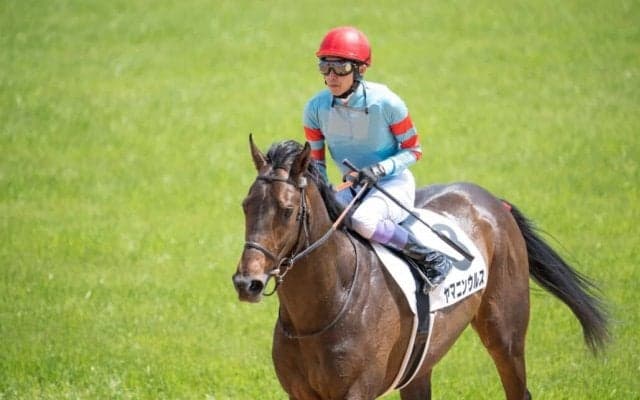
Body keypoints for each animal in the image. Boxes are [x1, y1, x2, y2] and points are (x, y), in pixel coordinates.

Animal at [232, 137, 609, 400]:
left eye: (287, 210)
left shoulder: (356, 390)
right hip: (422, 364)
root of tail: (490, 201)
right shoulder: (300, 392)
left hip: (506, 336)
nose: (247, 282)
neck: (326, 306)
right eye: (246, 205)